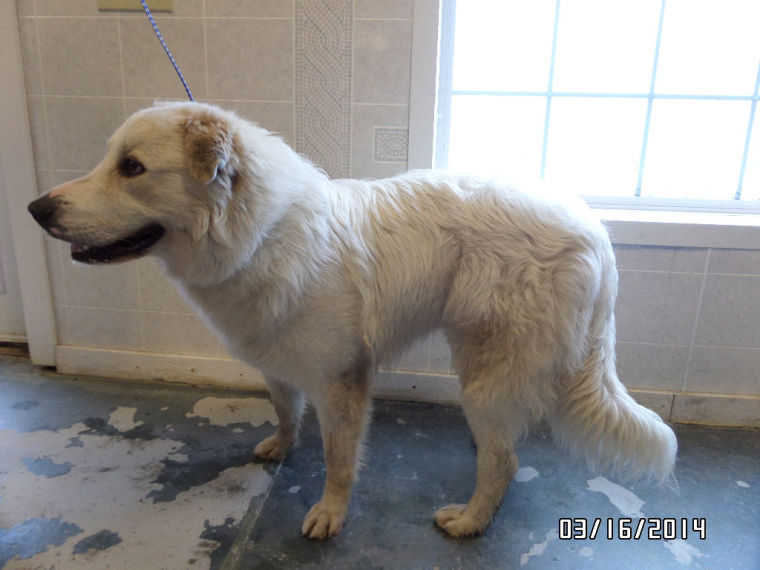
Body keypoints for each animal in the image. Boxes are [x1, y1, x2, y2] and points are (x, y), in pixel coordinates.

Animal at [28, 102, 676, 536]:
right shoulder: (278, 362)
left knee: (504, 461)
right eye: (111, 161)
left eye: (132, 168)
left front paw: (329, 515)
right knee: (504, 447)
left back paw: (469, 521)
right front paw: (278, 446)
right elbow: (284, 412)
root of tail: (593, 229)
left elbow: (340, 460)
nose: (36, 209)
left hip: (484, 373)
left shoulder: (343, 380)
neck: (260, 233)